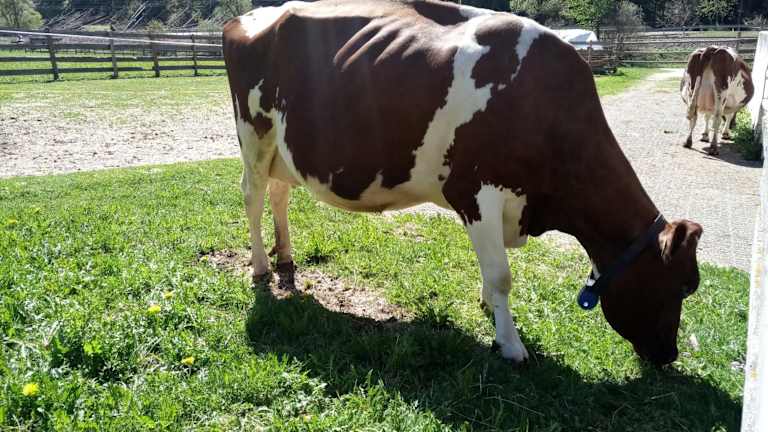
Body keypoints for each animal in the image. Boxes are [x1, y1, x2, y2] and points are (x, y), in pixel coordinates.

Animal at [223, 0, 703, 366]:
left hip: (283, 147)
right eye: (683, 285)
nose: (669, 356)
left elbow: (492, 274)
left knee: (279, 193)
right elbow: (501, 274)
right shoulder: (475, 191)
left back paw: (286, 259)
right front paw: (510, 344)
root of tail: (253, 14)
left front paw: (490, 309)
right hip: (254, 133)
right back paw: (261, 267)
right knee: (252, 195)